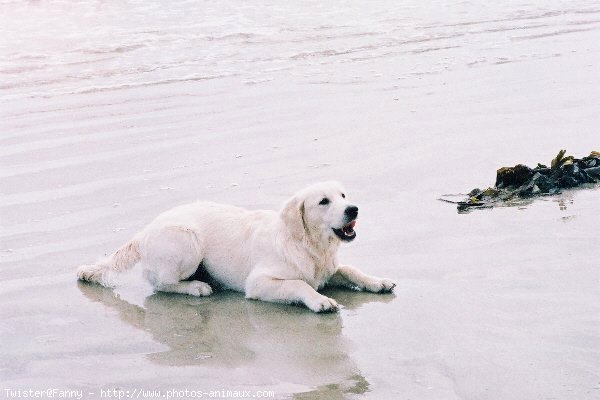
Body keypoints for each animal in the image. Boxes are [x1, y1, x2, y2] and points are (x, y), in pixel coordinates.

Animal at [78, 182, 398, 312]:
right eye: (323, 201)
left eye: (343, 195)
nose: (354, 209)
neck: (309, 245)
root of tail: (144, 230)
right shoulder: (258, 282)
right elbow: (299, 284)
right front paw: (319, 301)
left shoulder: (329, 268)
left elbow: (351, 269)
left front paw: (378, 281)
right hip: (187, 239)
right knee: (159, 282)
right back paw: (195, 287)